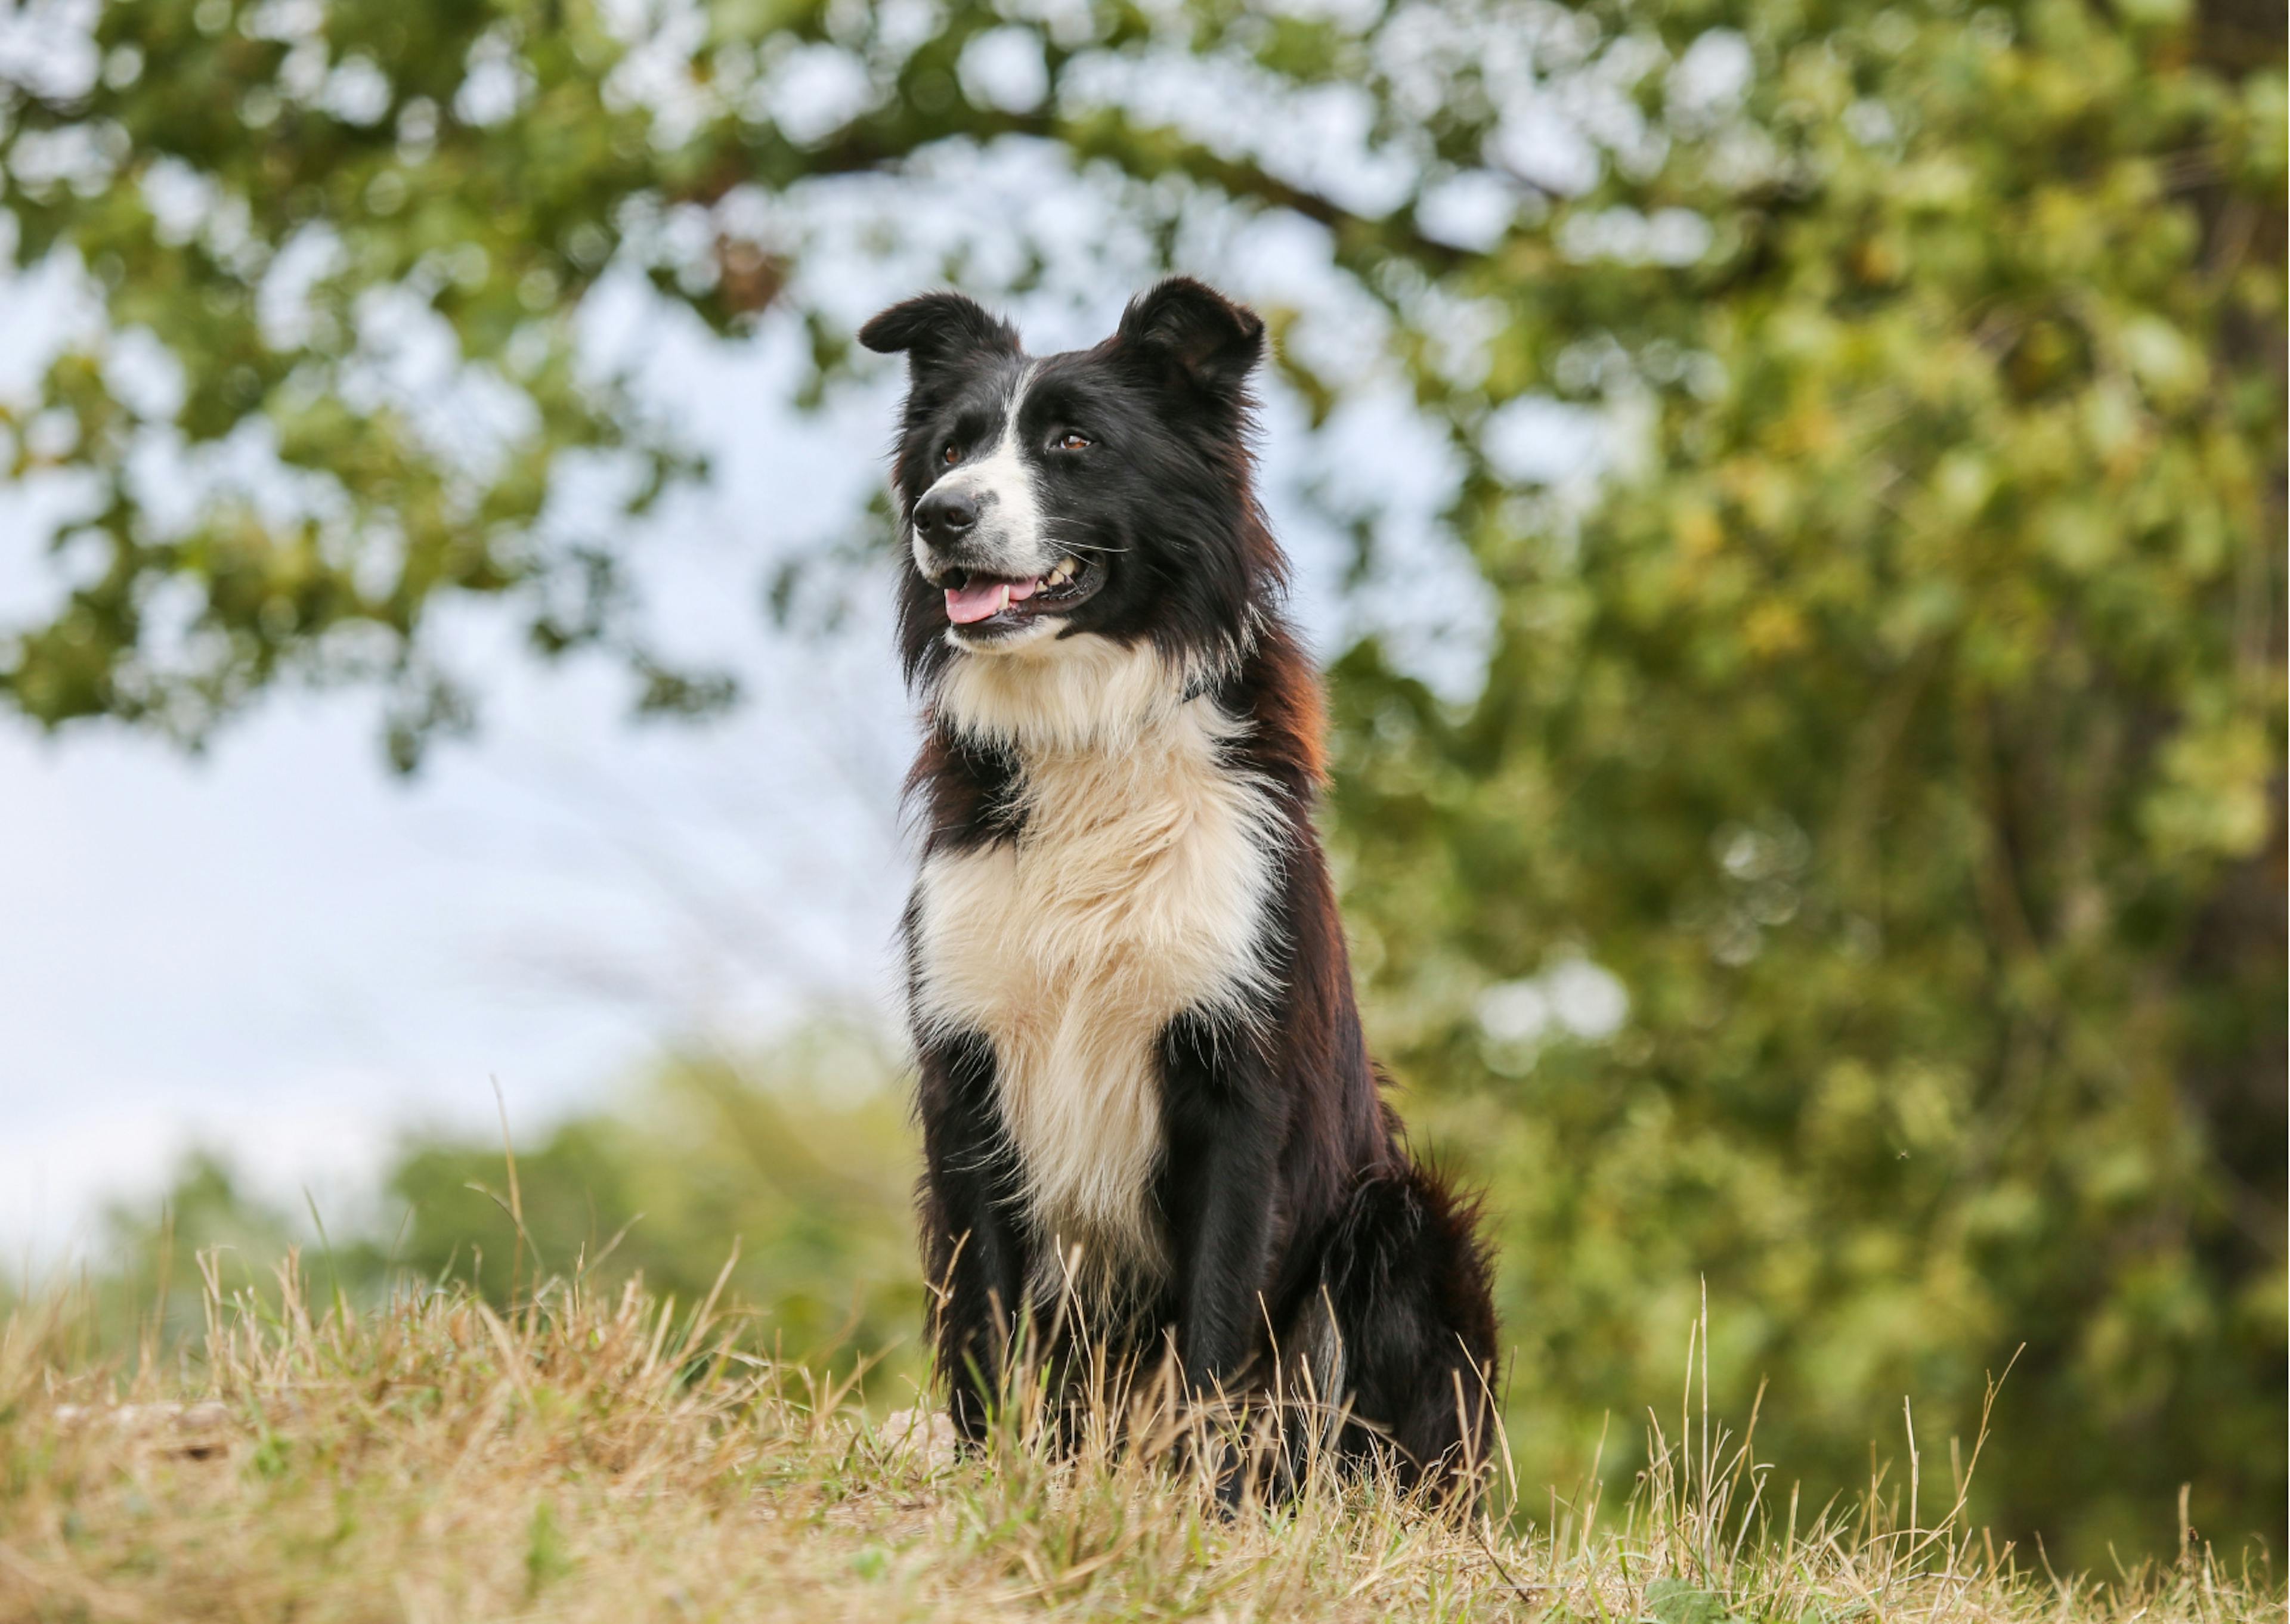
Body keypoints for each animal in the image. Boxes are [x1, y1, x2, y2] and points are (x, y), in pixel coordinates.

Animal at [861, 278, 1502, 1493]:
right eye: (952, 449)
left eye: (1073, 443)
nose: (942, 517)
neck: (1087, 729)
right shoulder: (970, 1070)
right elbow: (986, 1323)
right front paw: (993, 1476)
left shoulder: (1236, 1080)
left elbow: (1213, 1322)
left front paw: (1194, 1502)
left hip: (1400, 1222)